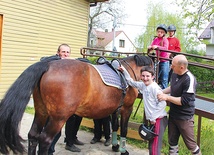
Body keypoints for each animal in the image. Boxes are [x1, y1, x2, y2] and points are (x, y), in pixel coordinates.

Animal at [0, 54, 152, 154]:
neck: (127, 73)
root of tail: (47, 65)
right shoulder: (127, 108)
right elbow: (124, 129)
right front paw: (123, 150)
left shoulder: (116, 109)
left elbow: (115, 126)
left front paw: (115, 146)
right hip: (58, 118)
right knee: (45, 140)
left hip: (41, 111)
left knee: (33, 136)